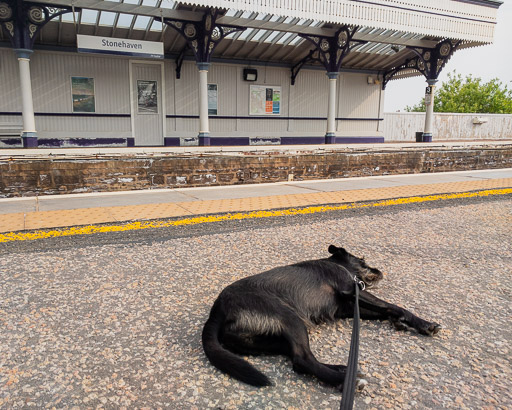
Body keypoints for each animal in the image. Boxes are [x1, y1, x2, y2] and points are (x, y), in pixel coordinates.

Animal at [202, 245, 442, 390]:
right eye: (363, 260)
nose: (380, 270)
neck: (336, 264)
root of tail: (217, 310)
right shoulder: (353, 291)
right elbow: (393, 306)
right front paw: (424, 324)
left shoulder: (347, 307)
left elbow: (384, 311)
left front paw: (399, 322)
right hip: (290, 318)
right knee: (302, 360)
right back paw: (347, 380)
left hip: (269, 340)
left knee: (297, 360)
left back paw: (343, 369)